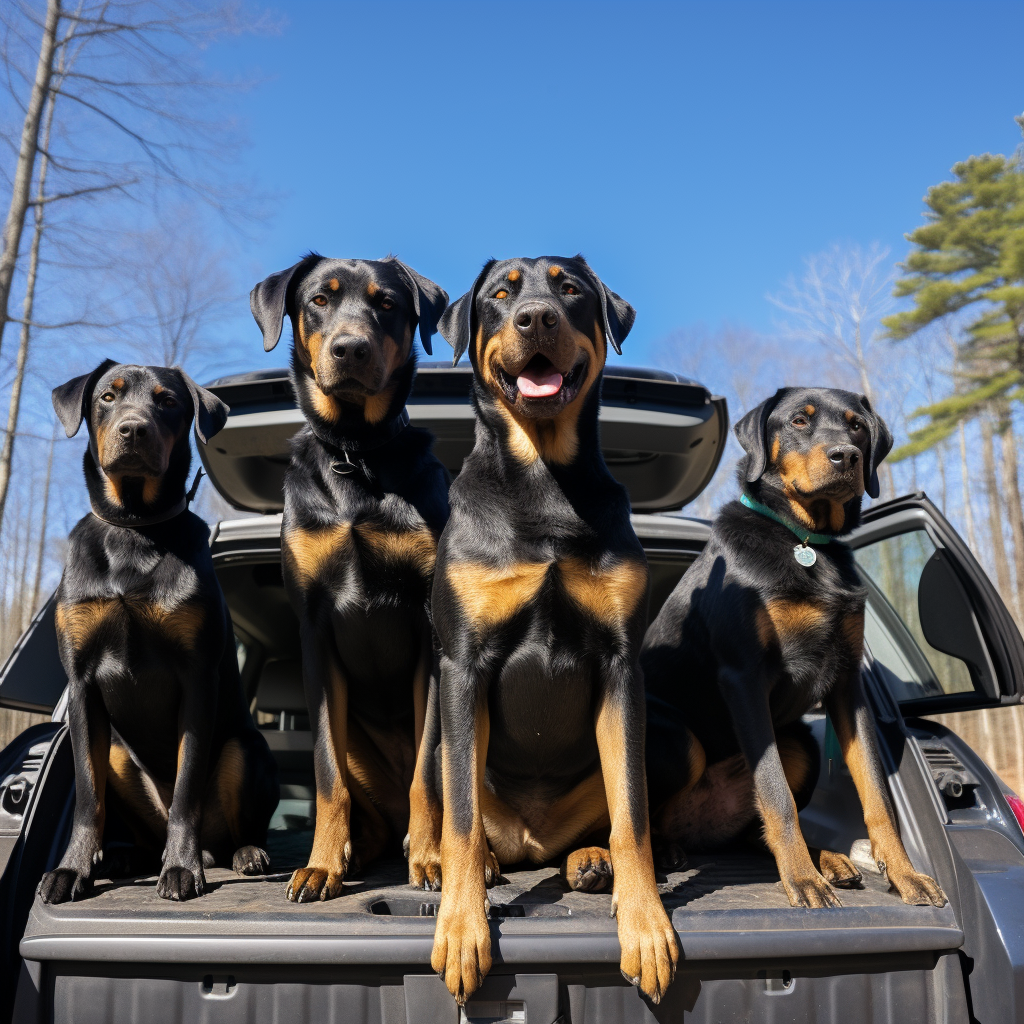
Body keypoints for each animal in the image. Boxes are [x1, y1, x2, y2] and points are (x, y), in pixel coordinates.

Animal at [39, 360, 278, 905]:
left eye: (168, 401)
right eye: (107, 397)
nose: (133, 429)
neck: (133, 527)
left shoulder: (196, 677)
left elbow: (187, 786)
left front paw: (183, 867)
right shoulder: (82, 682)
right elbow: (88, 794)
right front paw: (72, 870)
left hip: (245, 748)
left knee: (233, 824)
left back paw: (241, 854)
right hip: (117, 755)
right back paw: (129, 857)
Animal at [249, 251, 450, 901]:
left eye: (387, 303)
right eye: (319, 299)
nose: (350, 349)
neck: (356, 453)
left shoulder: (431, 626)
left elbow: (430, 770)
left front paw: (433, 860)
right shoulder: (315, 628)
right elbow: (325, 769)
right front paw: (322, 865)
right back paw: (356, 851)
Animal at [430, 256, 679, 1007]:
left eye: (569, 289)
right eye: (500, 293)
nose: (535, 317)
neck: (542, 480)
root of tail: (530, 842)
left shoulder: (620, 664)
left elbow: (634, 815)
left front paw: (646, 924)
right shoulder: (462, 663)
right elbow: (459, 818)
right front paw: (462, 928)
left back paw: (589, 861)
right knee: (463, 817)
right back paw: (479, 863)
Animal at [643, 387, 946, 909]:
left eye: (857, 425)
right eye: (799, 422)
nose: (846, 456)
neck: (806, 541)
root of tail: (697, 829)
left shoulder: (847, 684)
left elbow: (876, 794)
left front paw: (906, 876)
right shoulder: (744, 677)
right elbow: (775, 791)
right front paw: (803, 881)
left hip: (800, 743)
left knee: (753, 832)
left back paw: (831, 860)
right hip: (678, 740)